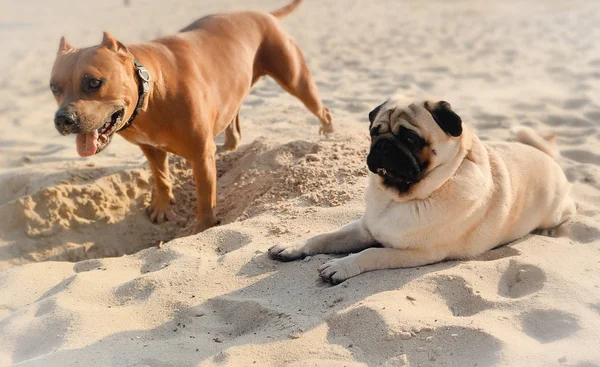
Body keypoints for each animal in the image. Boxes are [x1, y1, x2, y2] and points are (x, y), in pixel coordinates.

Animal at [49, 0, 336, 233]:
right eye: (53, 88)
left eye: (94, 83)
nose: (63, 119)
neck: (152, 92)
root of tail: (263, 14)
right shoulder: (150, 149)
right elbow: (161, 178)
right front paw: (162, 206)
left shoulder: (200, 155)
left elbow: (205, 196)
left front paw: (203, 227)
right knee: (233, 118)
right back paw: (230, 144)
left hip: (296, 80)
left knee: (323, 110)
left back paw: (329, 136)